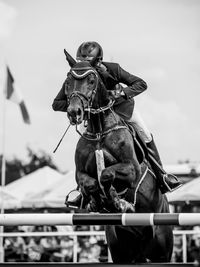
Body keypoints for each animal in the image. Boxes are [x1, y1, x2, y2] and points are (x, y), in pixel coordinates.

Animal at [63, 51, 173, 264]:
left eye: (91, 80)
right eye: (67, 82)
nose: (74, 112)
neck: (99, 129)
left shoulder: (131, 169)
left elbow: (106, 174)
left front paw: (118, 201)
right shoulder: (80, 174)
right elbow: (91, 182)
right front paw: (98, 201)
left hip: (161, 249)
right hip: (122, 249)